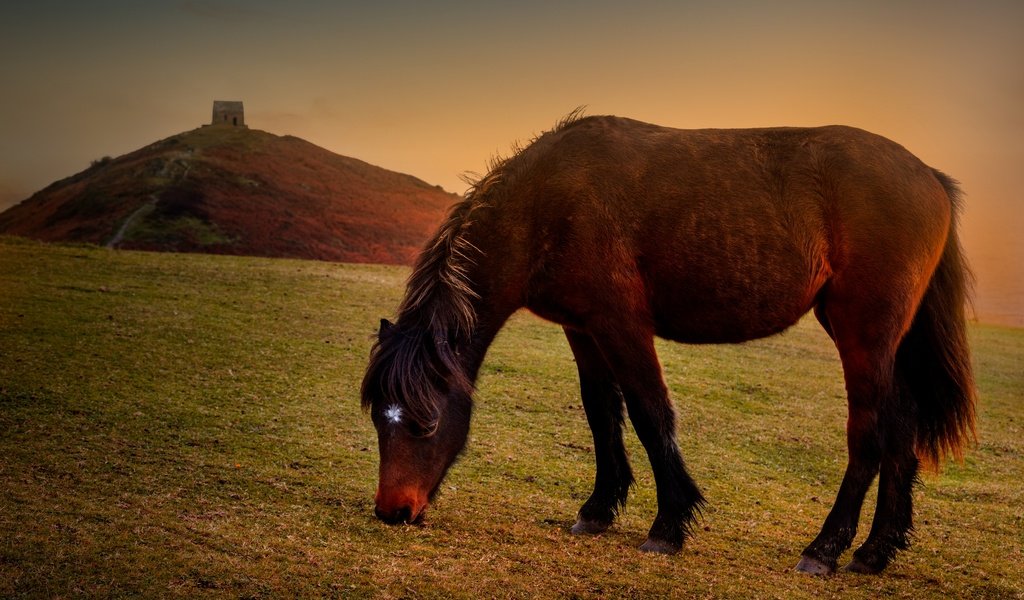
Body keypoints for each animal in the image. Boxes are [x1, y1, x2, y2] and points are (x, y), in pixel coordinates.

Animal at [360, 112, 974, 573]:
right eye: (377, 420)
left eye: (426, 425)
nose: (393, 511)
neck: (545, 204)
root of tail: (928, 176)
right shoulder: (582, 328)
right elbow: (601, 414)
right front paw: (598, 510)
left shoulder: (622, 325)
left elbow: (650, 414)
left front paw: (669, 524)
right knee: (902, 430)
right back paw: (874, 552)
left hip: (862, 334)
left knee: (869, 433)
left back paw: (825, 549)